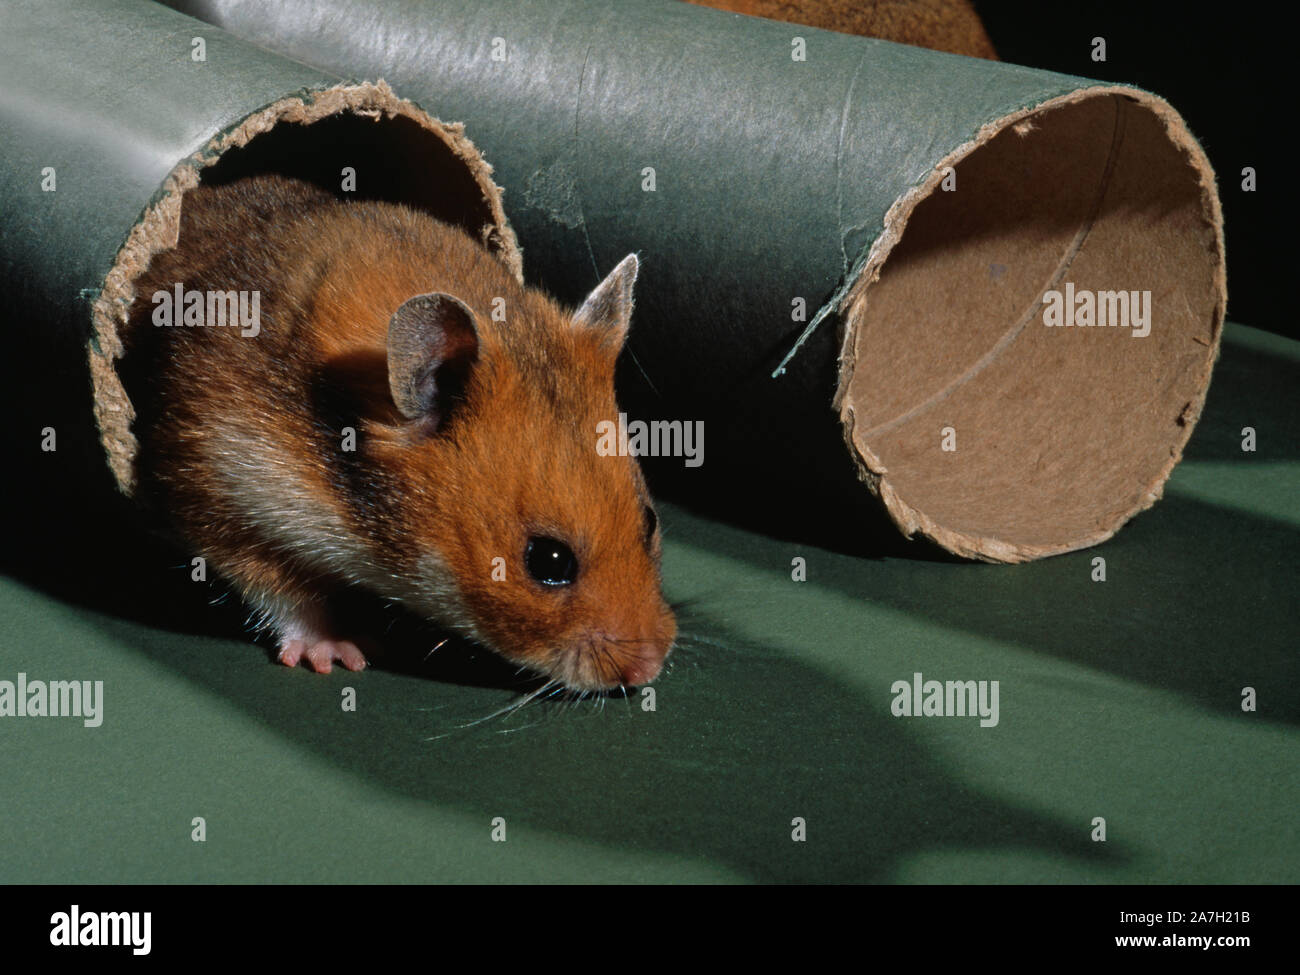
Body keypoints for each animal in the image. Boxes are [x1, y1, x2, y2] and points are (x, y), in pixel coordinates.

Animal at [119, 178, 681, 696]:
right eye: (549, 561)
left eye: (650, 520)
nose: (650, 669)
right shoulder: (220, 486)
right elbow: (287, 593)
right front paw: (346, 655)